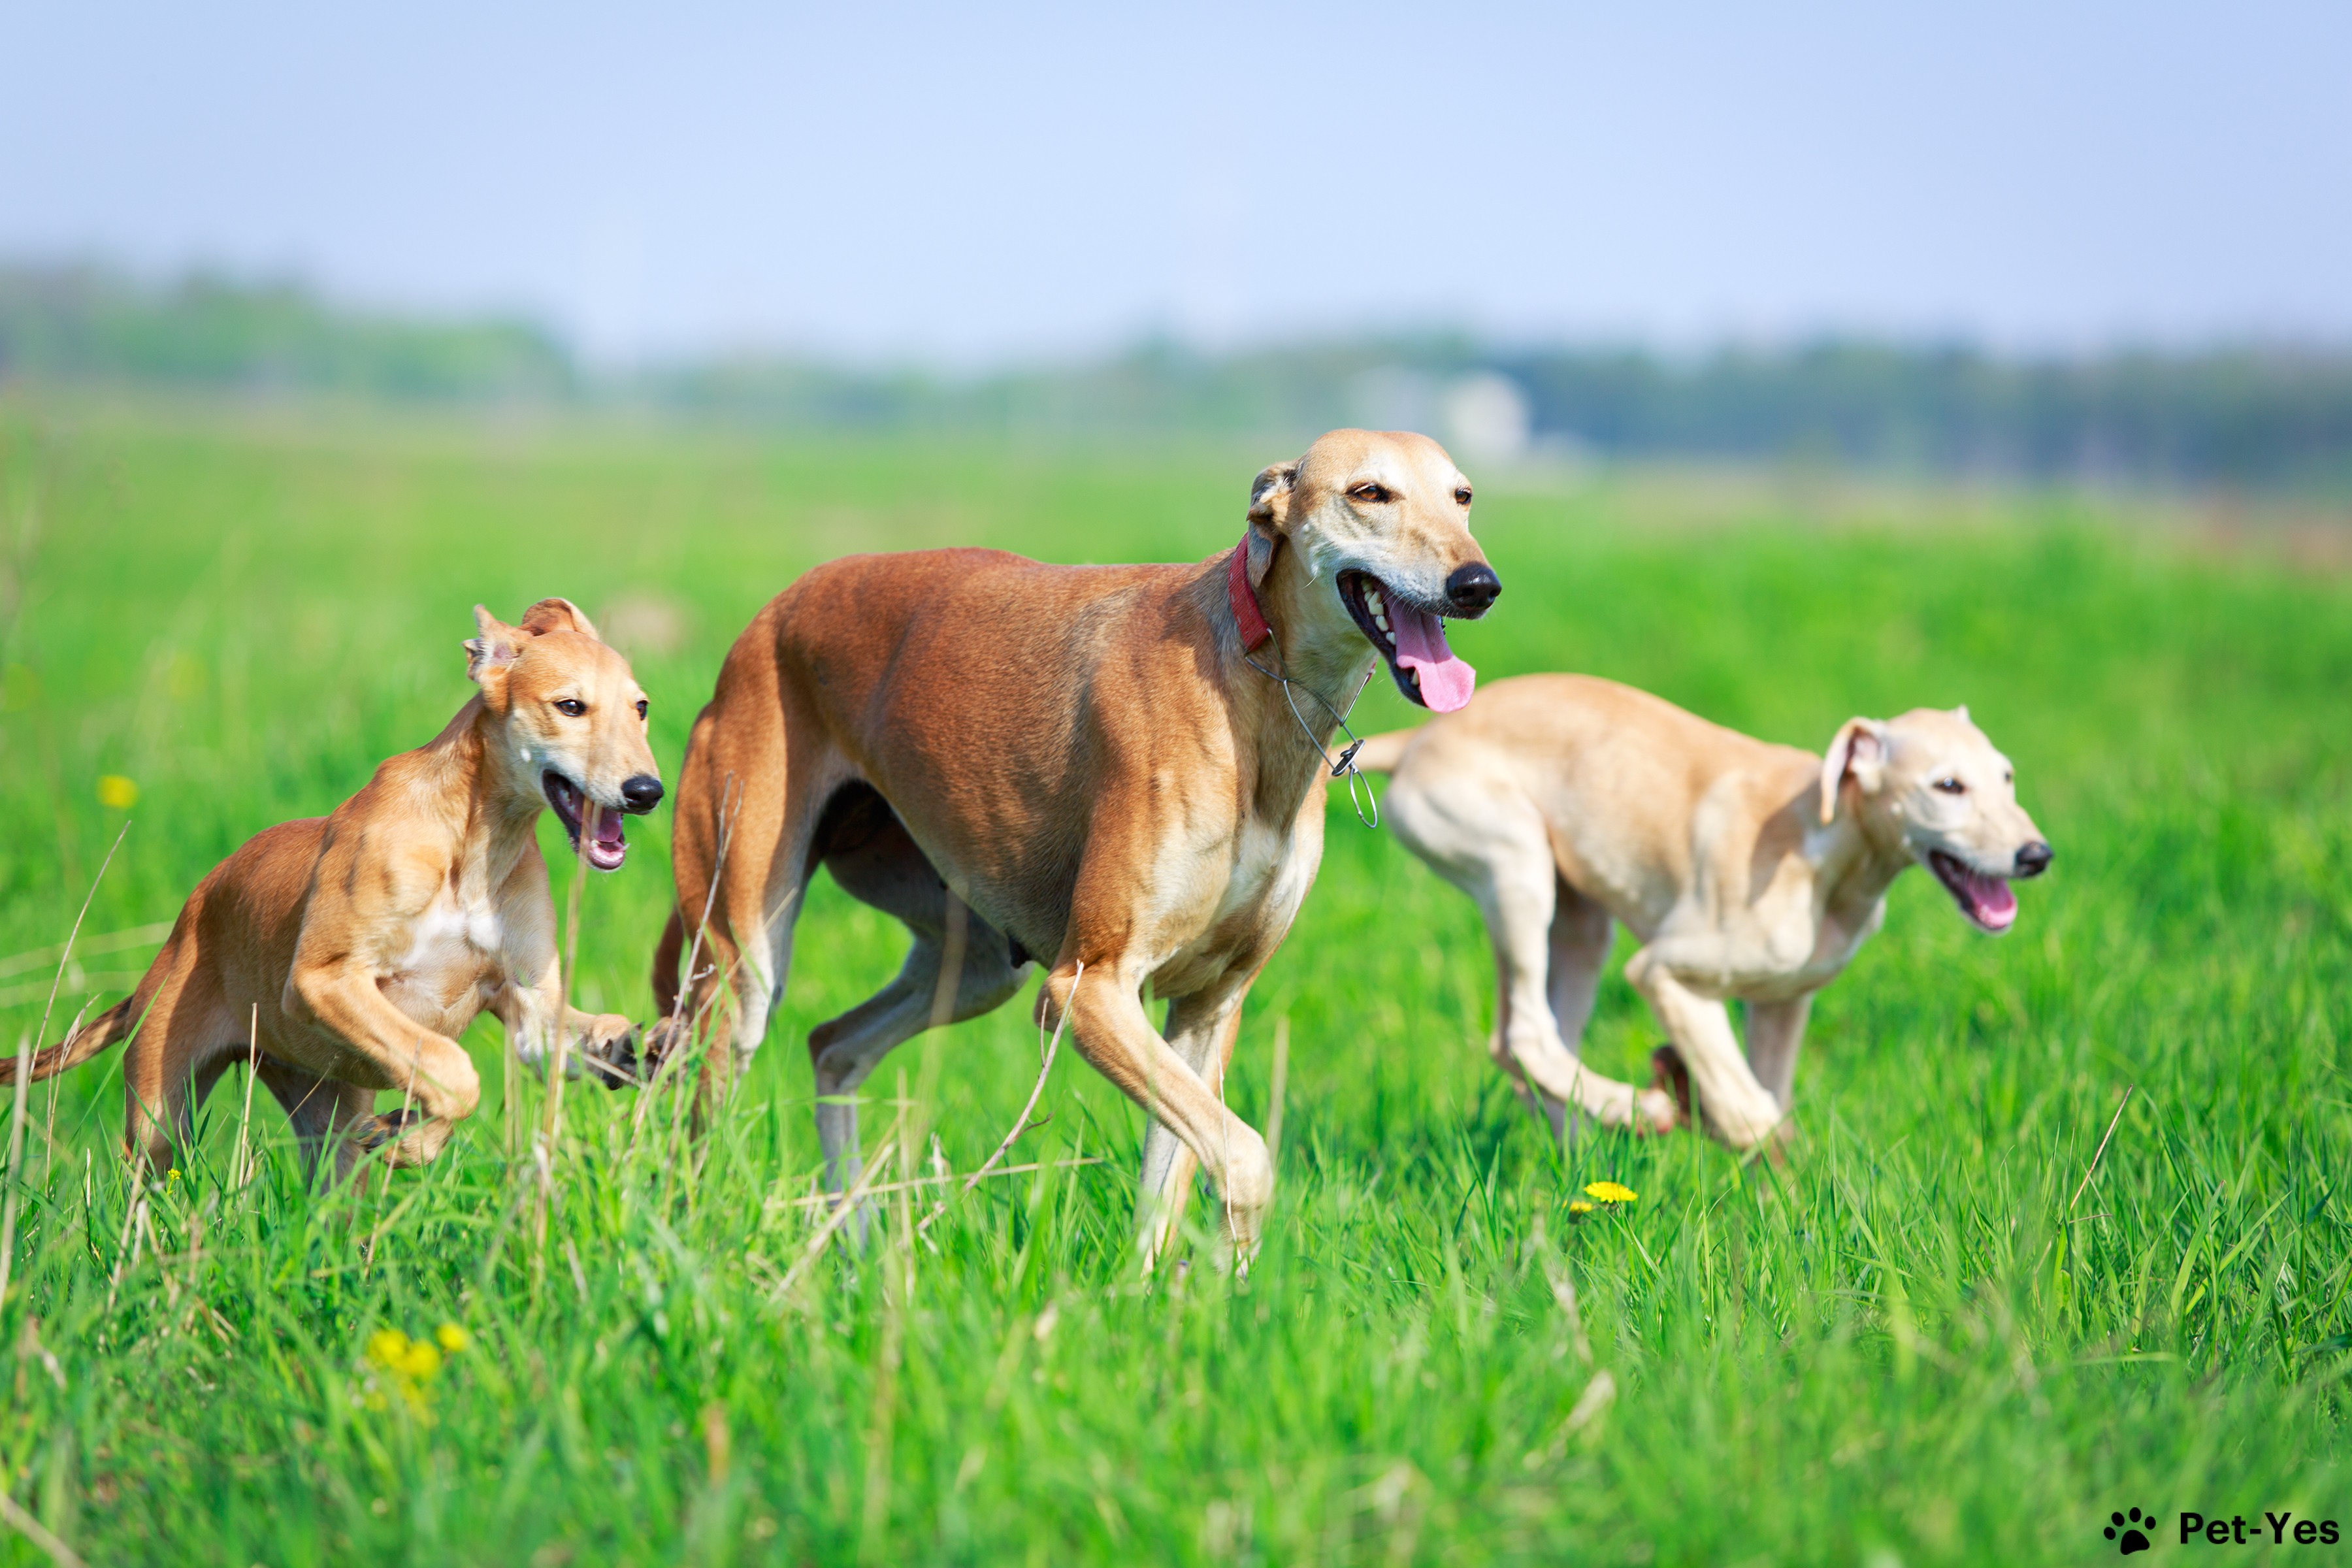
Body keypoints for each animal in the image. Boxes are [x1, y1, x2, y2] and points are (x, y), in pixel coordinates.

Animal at [7, 596, 663, 1175]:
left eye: (641, 707)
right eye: (570, 705)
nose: (647, 792)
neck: (471, 844)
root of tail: (169, 949)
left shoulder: (531, 1009)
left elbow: (550, 1042)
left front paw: (635, 1047)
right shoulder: (322, 982)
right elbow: (455, 1071)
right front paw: (408, 1139)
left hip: (324, 1119)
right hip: (158, 1120)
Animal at [653, 430, 1495, 1260]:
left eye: (1463, 496)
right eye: (1369, 492)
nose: (1478, 585)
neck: (1257, 684)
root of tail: (768, 618)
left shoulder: (1208, 1006)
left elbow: (1171, 1183)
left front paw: (1164, 1290)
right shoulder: (1089, 989)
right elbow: (1246, 1159)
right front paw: (1232, 1269)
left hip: (974, 963)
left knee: (833, 1044)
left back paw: (858, 1246)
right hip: (741, 962)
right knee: (700, 1128)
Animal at [1373, 677, 2051, 1152]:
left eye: (2008, 776)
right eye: (1948, 787)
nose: (2037, 856)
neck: (1827, 841)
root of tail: (1417, 739)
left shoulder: (1784, 1001)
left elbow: (1771, 1097)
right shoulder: (1664, 973)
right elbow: (1746, 1106)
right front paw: (1715, 1120)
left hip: (1580, 920)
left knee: (1525, 1050)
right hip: (1515, 865)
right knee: (1527, 1037)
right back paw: (1637, 1111)